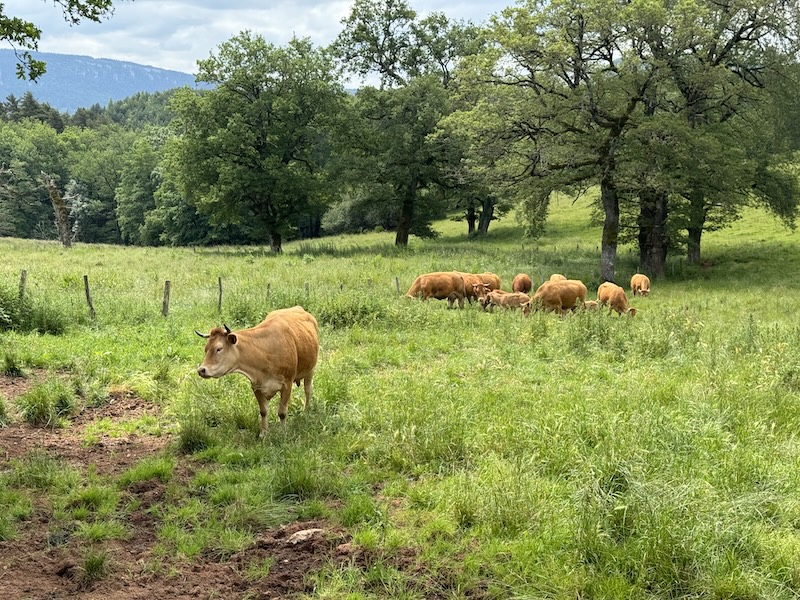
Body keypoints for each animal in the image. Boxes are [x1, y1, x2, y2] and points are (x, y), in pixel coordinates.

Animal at [195, 306, 319, 437]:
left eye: (219, 348)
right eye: (206, 349)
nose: (201, 370)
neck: (264, 350)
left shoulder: (287, 384)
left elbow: (282, 412)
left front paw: (282, 432)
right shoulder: (257, 386)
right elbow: (263, 411)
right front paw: (263, 433)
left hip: (310, 370)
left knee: (308, 390)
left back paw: (306, 410)